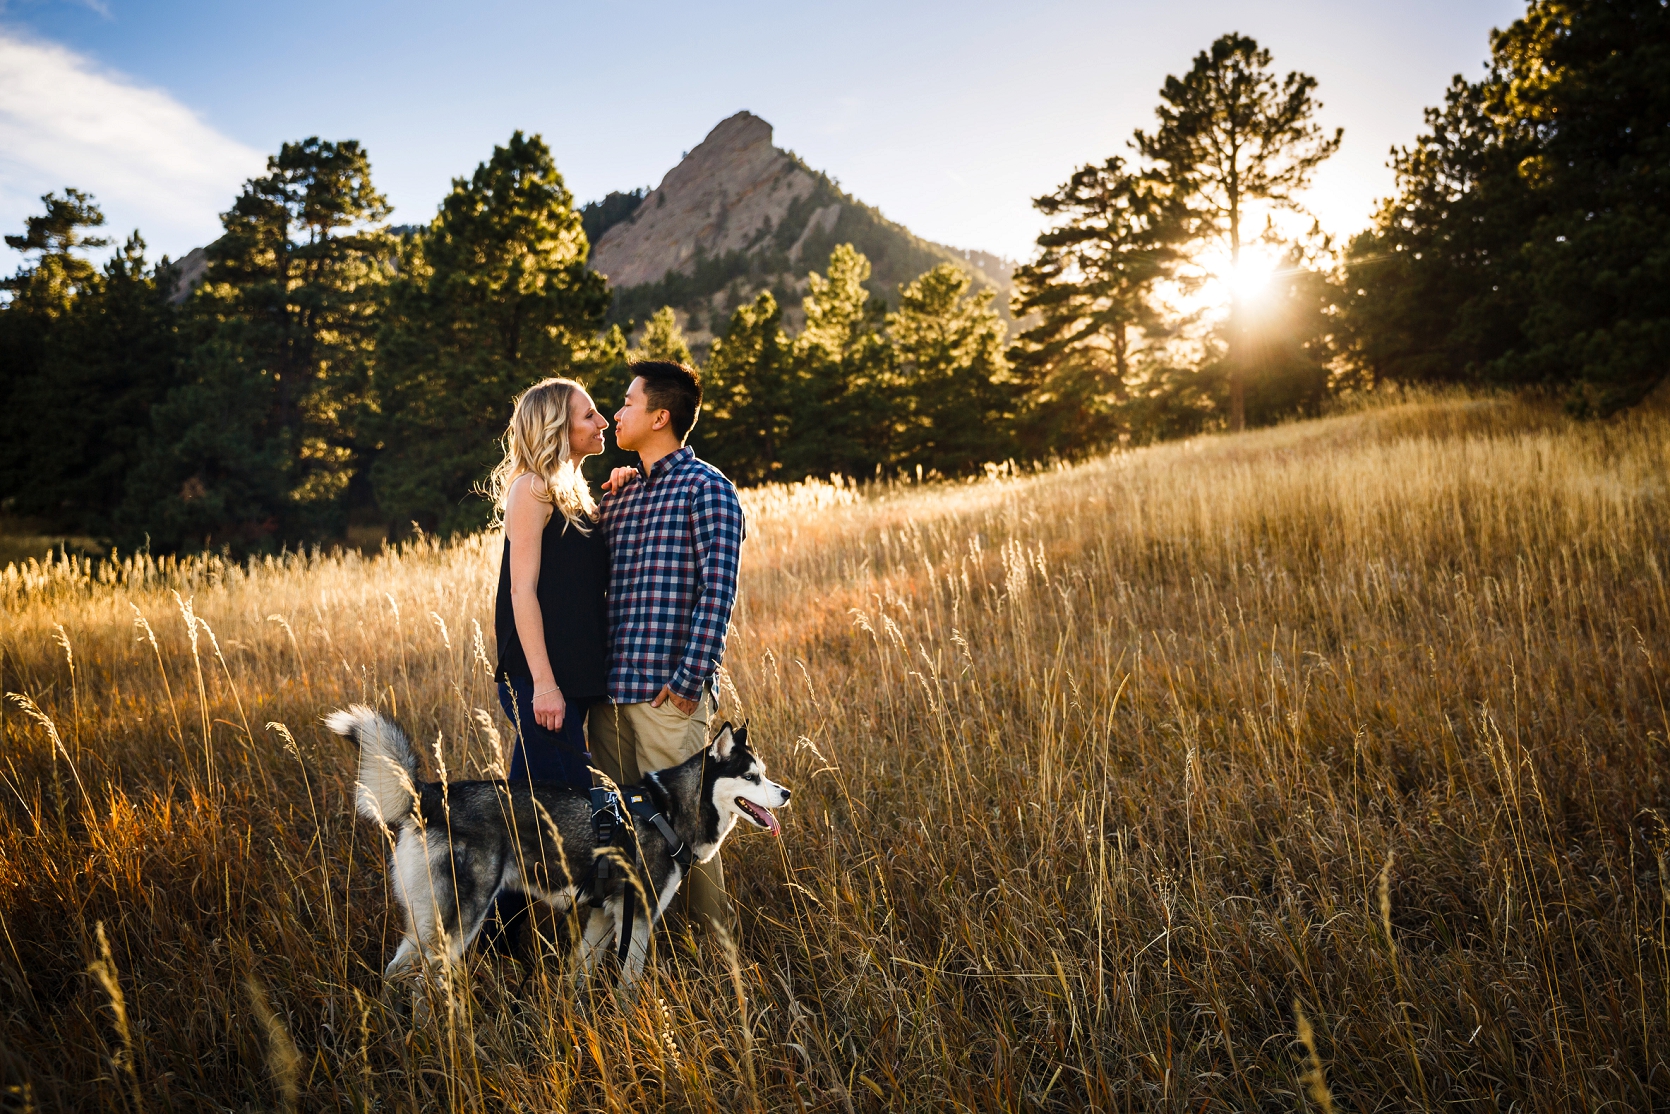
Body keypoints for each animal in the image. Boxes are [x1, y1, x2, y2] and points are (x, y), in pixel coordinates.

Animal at [332, 711, 794, 988]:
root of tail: (431, 794)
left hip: (426, 918)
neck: (668, 809)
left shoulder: (603, 916)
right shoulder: (637, 916)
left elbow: (579, 975)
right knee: (421, 981)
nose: (786, 793)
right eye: (751, 777)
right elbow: (628, 985)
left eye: (765, 774)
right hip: (460, 920)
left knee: (396, 970)